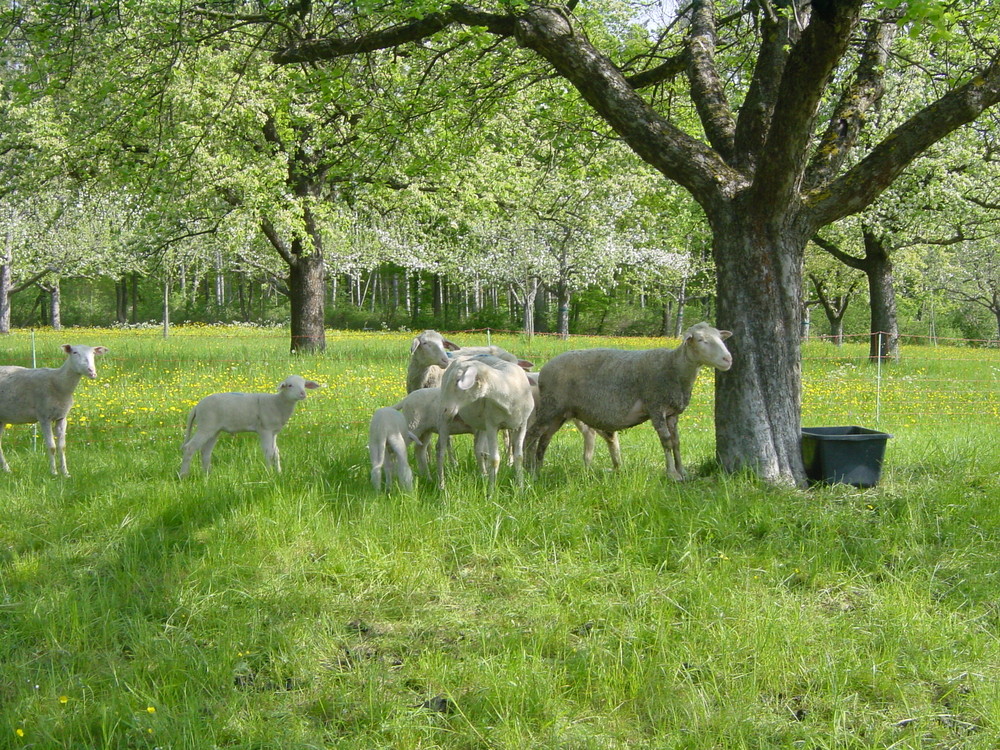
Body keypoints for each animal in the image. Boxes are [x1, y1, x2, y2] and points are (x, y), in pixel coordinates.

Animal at [0, 346, 109, 478]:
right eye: (74, 352)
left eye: (93, 353)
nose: (91, 371)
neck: (58, 382)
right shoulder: (44, 417)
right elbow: (51, 446)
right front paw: (54, 473)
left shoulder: (61, 417)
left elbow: (62, 446)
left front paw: (65, 473)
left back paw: (7, 470)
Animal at [178, 376, 322, 482]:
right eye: (290, 385)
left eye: (304, 384)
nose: (303, 393)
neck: (277, 403)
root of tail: (197, 406)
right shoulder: (265, 430)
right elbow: (269, 452)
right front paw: (270, 474)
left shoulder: (274, 432)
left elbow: (276, 453)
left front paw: (279, 473)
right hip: (206, 426)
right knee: (190, 448)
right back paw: (183, 475)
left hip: (214, 430)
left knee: (205, 451)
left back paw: (208, 475)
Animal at [436, 356, 536, 490]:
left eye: (458, 380)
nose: (445, 409)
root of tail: (460, 358)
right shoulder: (492, 425)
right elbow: (494, 460)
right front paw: (491, 491)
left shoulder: (522, 425)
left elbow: (519, 457)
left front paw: (521, 488)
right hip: (447, 419)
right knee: (440, 450)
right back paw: (441, 486)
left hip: (482, 423)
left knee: (478, 449)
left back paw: (483, 475)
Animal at [524, 324, 736, 482]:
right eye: (701, 340)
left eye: (720, 337)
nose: (728, 359)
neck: (673, 367)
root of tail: (544, 369)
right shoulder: (656, 406)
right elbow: (666, 441)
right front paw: (672, 474)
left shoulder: (672, 412)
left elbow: (676, 442)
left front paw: (682, 471)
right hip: (550, 407)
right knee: (531, 435)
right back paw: (529, 471)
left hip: (559, 413)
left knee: (544, 439)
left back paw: (538, 468)